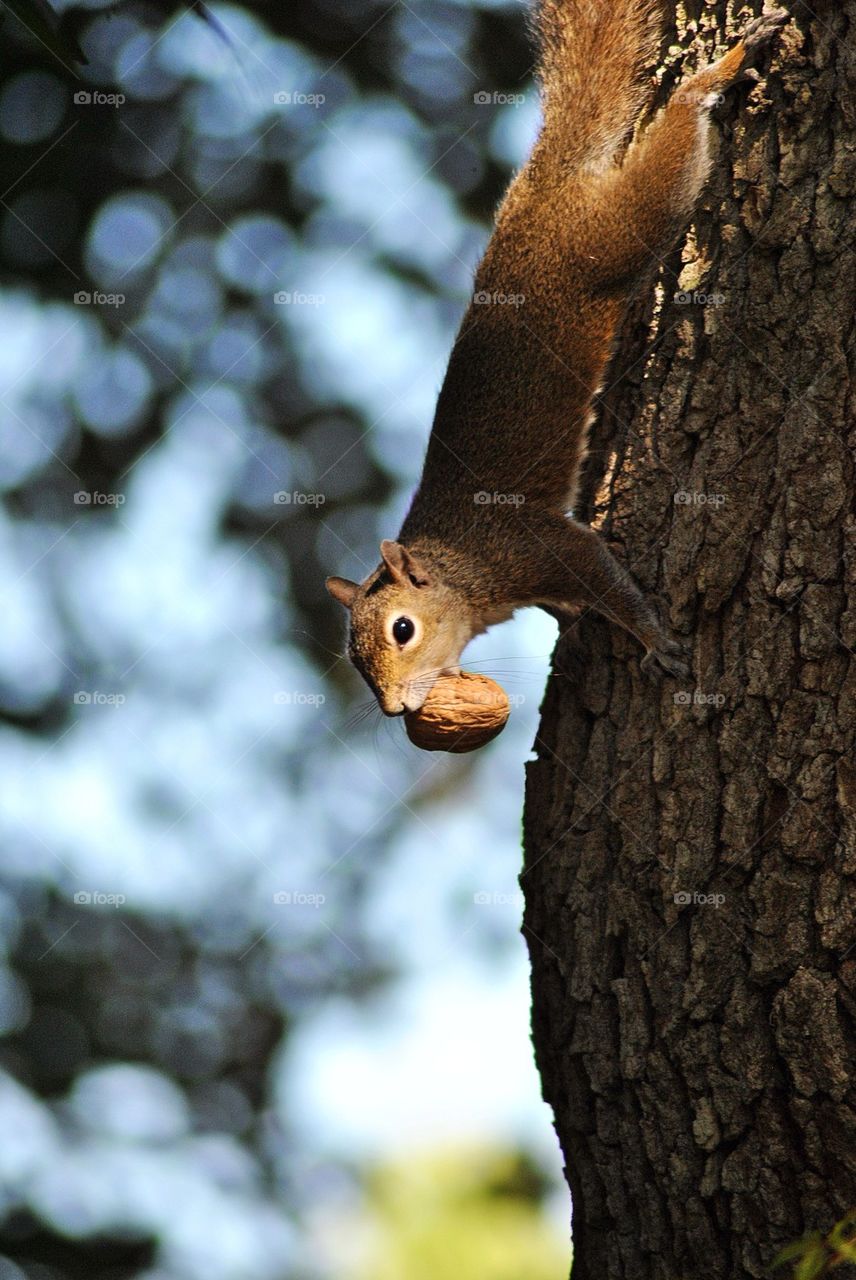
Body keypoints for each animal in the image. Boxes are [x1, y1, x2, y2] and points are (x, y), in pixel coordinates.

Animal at [326, 1, 788, 716]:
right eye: (354, 656)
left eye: (403, 629)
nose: (396, 708)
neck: (463, 573)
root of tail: (547, 178)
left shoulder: (534, 547)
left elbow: (604, 577)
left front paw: (657, 641)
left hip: (618, 234)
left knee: (675, 146)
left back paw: (719, 74)